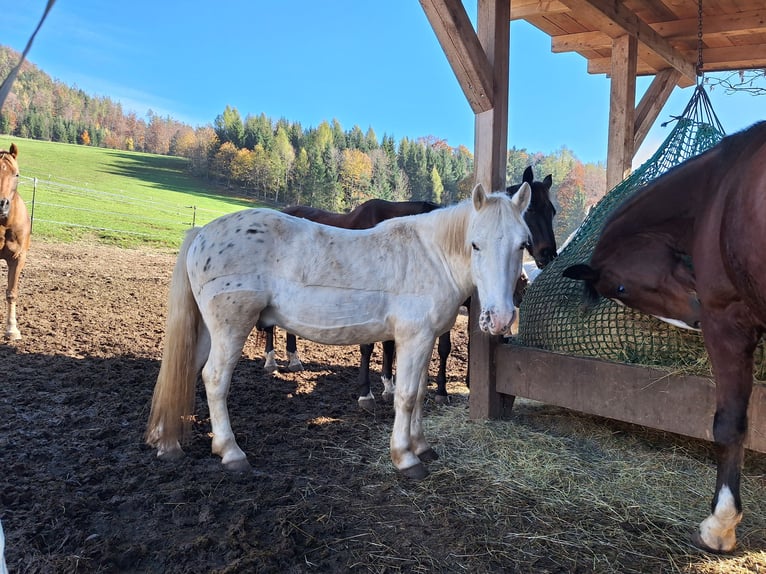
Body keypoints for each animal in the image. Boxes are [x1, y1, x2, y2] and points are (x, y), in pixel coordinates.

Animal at [147, 184, 532, 482]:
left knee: (186, 369)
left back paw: (167, 442)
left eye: (522, 245)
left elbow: (420, 394)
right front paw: (405, 458)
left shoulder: (423, 341)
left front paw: (422, 446)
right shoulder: (415, 338)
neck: (430, 256)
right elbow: (406, 396)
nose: (500, 318)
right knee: (214, 379)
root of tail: (202, 233)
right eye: (476, 244)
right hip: (230, 327)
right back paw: (230, 451)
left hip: (206, 330)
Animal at [564, 122, 766, 560]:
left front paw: (720, 525)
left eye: (621, 287)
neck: (717, 189)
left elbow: (729, 425)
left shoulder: (727, 322)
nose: (695, 318)